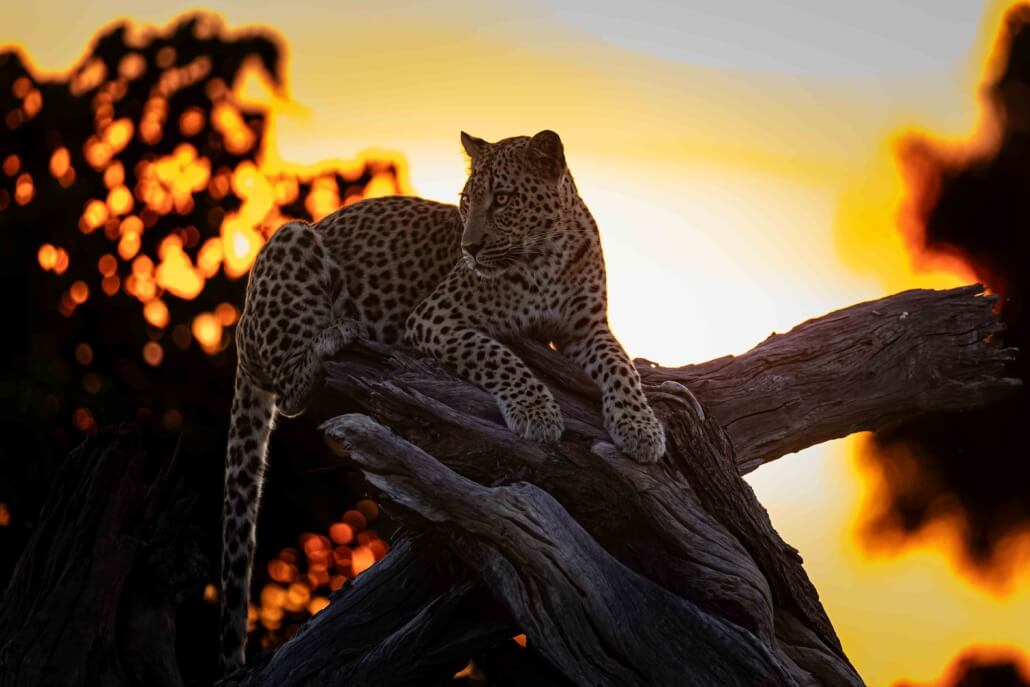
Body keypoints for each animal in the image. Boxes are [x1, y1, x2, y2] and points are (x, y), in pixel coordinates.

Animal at [219, 129, 666, 671]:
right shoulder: (436, 319)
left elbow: (621, 368)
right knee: (289, 390)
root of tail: (242, 329)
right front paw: (537, 413)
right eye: (466, 201)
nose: (470, 247)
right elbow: (499, 355)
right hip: (291, 239)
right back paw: (336, 334)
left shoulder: (587, 330)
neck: (548, 254)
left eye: (503, 199)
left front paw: (640, 427)